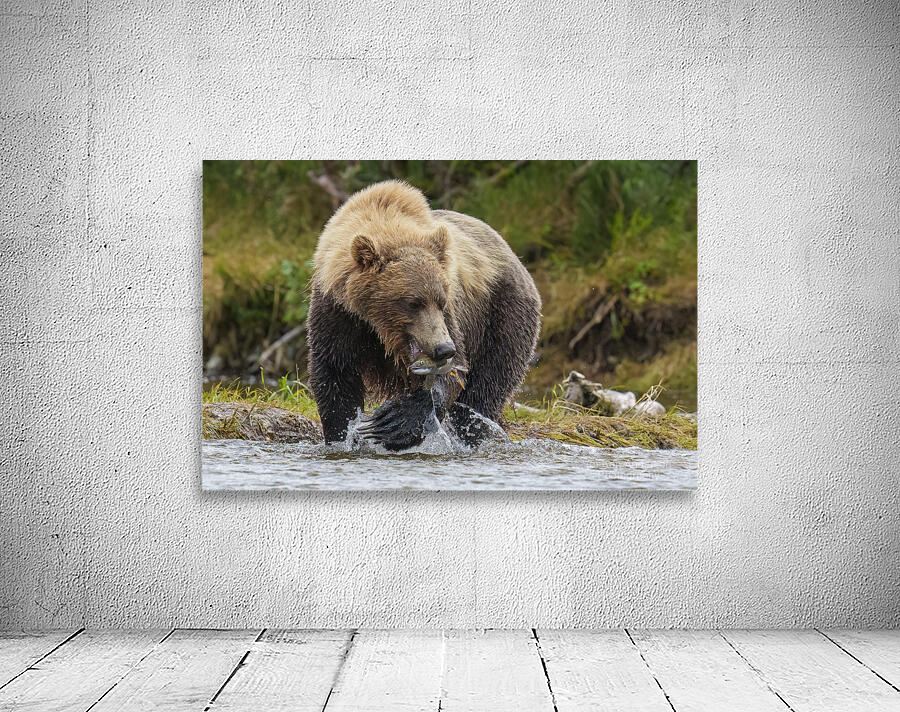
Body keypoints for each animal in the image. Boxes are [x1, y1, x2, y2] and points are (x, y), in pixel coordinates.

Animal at [307, 180, 541, 451]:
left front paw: (396, 421)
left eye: (440, 301)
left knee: (486, 386)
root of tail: (516, 258)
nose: (443, 349)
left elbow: (454, 374)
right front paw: (343, 436)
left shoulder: (451, 316)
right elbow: (335, 373)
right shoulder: (339, 314)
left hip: (501, 314)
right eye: (413, 302)